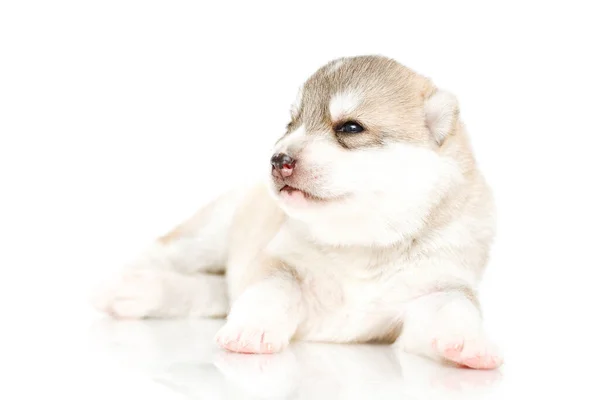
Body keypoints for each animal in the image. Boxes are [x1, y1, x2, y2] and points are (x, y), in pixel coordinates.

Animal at [94, 54, 502, 370]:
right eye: (292, 123)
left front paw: (474, 346)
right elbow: (273, 291)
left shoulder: (438, 287)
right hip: (210, 233)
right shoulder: (279, 261)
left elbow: (456, 310)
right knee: (166, 252)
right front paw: (251, 330)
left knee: (213, 292)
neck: (361, 243)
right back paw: (123, 285)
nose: (277, 160)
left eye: (350, 127)